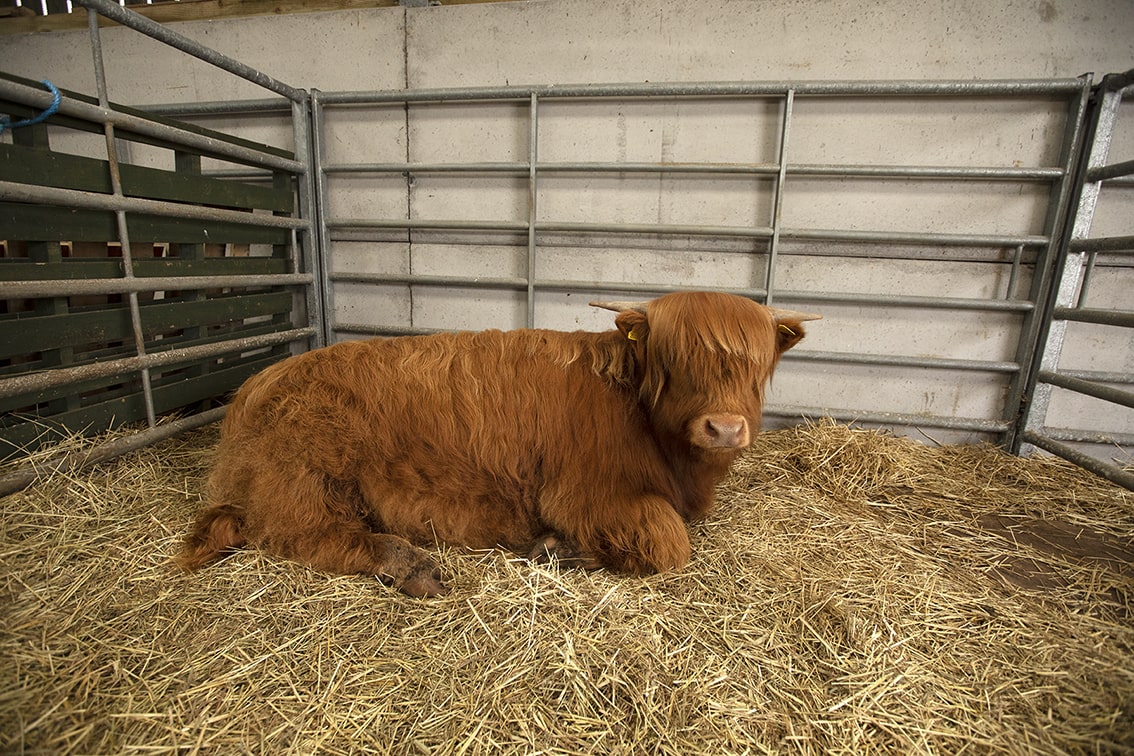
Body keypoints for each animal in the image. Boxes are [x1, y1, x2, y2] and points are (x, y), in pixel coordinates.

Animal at [174, 292, 816, 598]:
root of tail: (257, 385)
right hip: (304, 479)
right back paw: (413, 566)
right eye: (674, 361)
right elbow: (669, 543)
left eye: (755, 365)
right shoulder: (586, 495)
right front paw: (561, 549)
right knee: (307, 536)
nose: (724, 427)